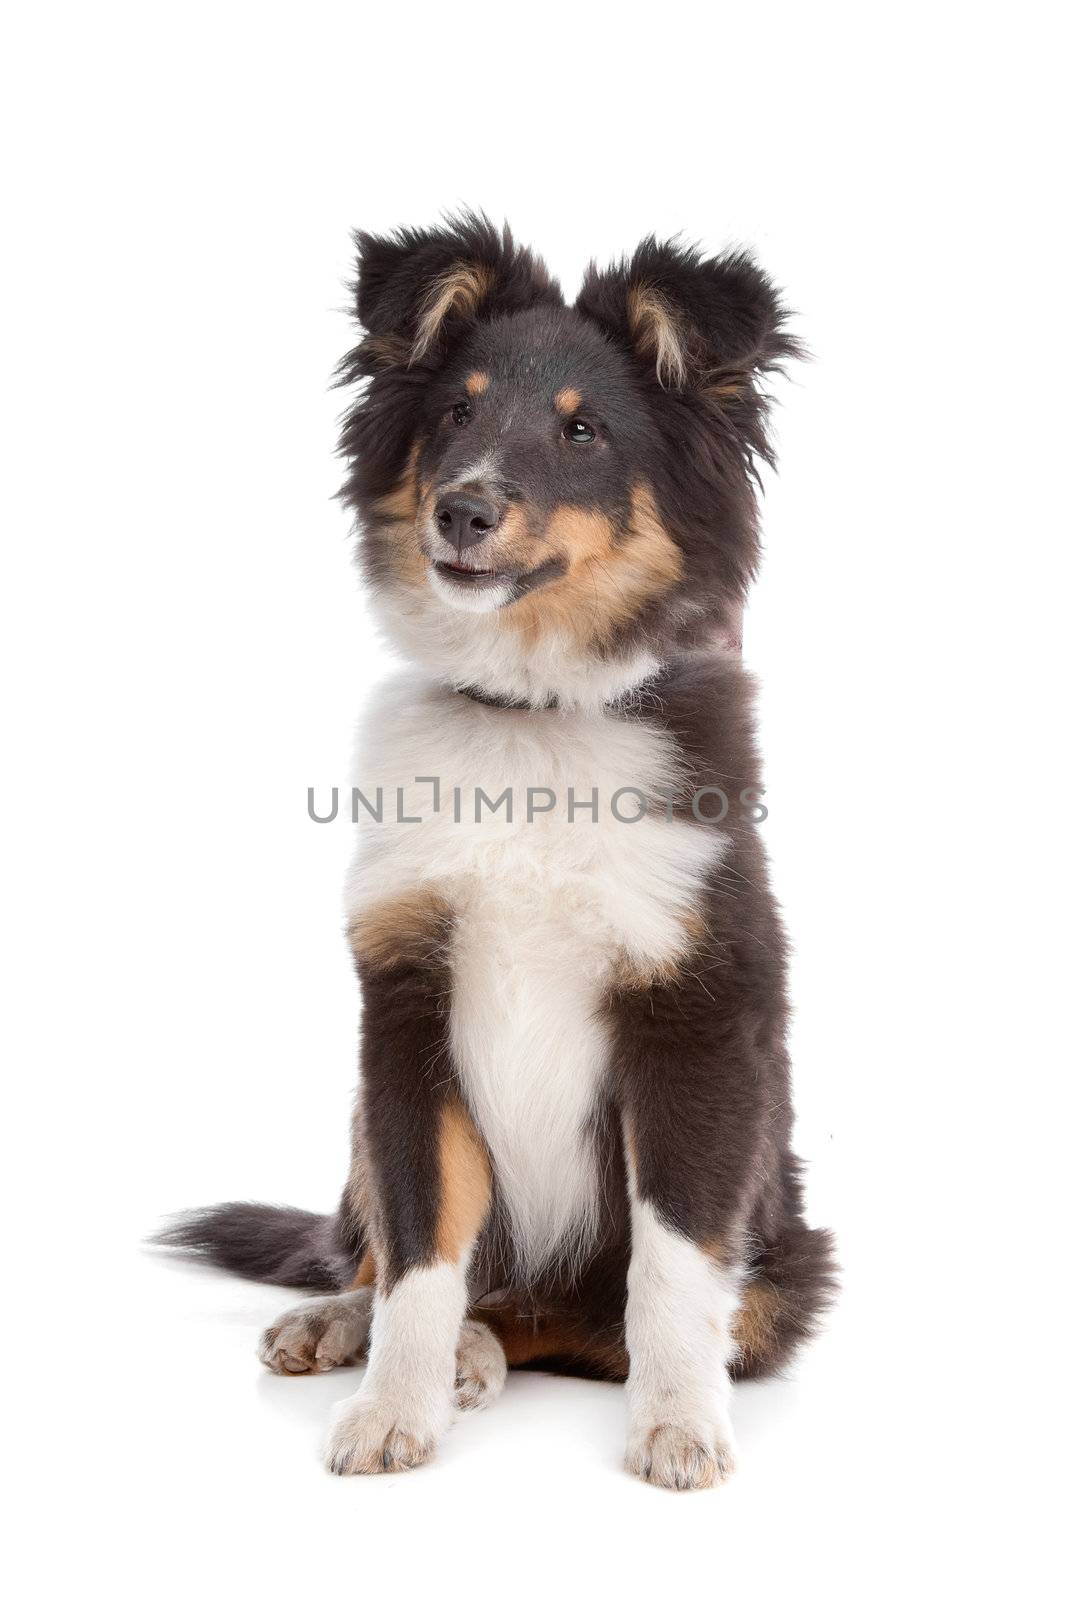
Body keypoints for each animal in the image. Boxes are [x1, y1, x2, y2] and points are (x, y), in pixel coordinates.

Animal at [163, 212, 838, 1484]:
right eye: (454, 415)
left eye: (582, 430)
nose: (462, 511)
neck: (529, 712)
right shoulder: (406, 1004)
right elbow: (422, 1242)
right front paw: (393, 1405)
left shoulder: (694, 1015)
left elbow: (671, 1269)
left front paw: (678, 1426)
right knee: (398, 1257)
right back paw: (361, 1328)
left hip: (793, 1245)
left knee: (598, 1319)